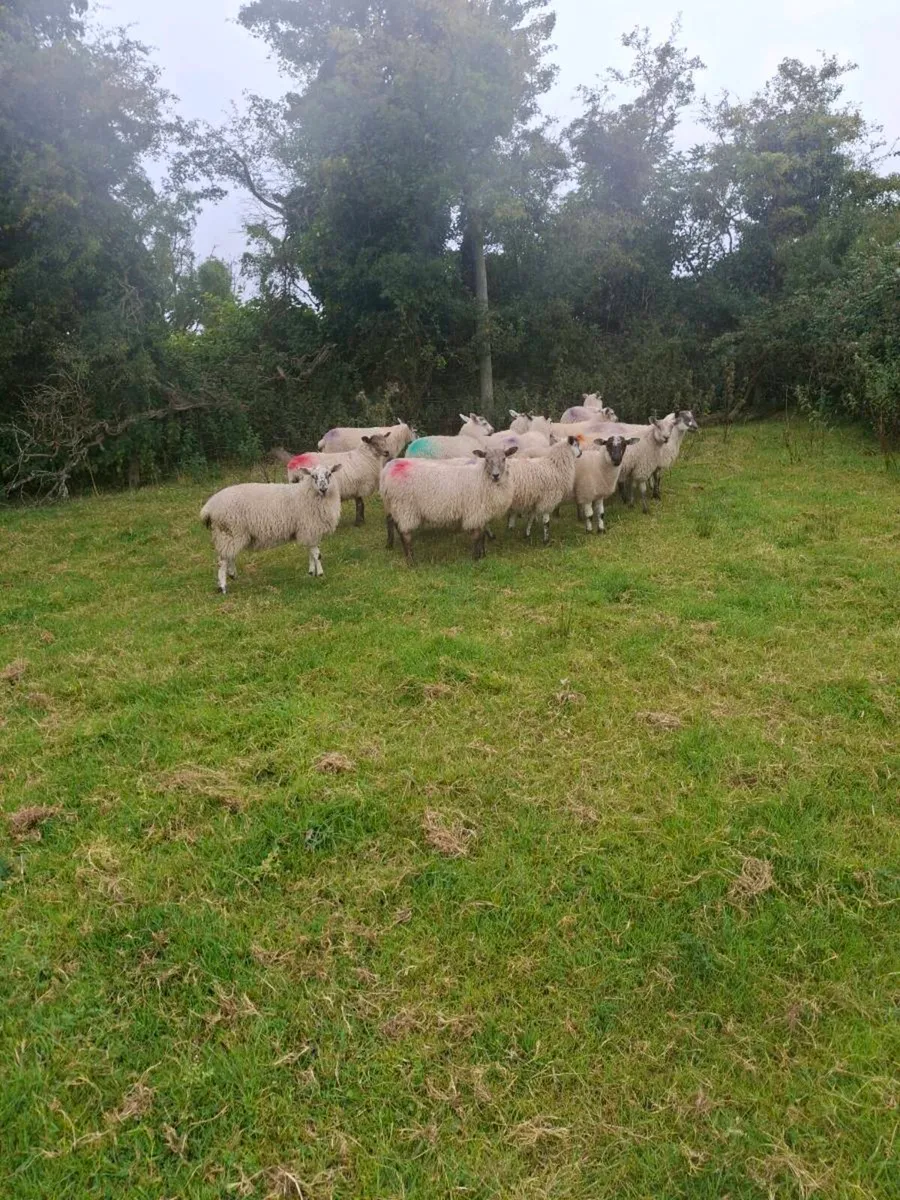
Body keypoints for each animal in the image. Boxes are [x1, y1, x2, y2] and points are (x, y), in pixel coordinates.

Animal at [200, 464, 342, 593]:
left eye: (329, 474)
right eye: (313, 476)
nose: (323, 488)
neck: (306, 493)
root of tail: (209, 507)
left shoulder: (309, 531)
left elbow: (311, 553)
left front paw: (311, 572)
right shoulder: (310, 528)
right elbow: (317, 555)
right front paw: (321, 574)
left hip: (229, 535)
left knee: (229, 556)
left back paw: (232, 574)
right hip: (229, 531)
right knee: (222, 560)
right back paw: (223, 586)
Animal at [380, 446, 517, 563]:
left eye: (504, 458)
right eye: (487, 460)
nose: (496, 475)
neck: (482, 477)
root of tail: (387, 470)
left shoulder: (483, 512)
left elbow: (482, 535)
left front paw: (483, 555)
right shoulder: (475, 511)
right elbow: (477, 536)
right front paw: (475, 558)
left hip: (393, 505)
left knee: (393, 523)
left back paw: (390, 545)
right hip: (405, 506)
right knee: (405, 534)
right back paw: (411, 561)